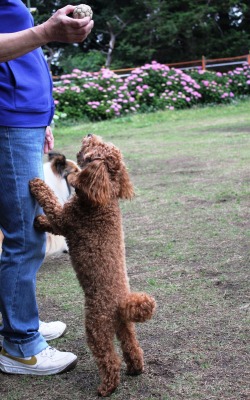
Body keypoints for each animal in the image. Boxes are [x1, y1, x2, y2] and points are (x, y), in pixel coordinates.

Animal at [29, 134, 156, 396]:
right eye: (102, 143)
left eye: (94, 148)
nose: (89, 134)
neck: (105, 194)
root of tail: (122, 303)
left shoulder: (67, 220)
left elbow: (51, 204)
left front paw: (37, 187)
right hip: (123, 326)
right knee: (132, 346)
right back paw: (135, 369)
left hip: (96, 326)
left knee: (109, 359)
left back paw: (106, 388)